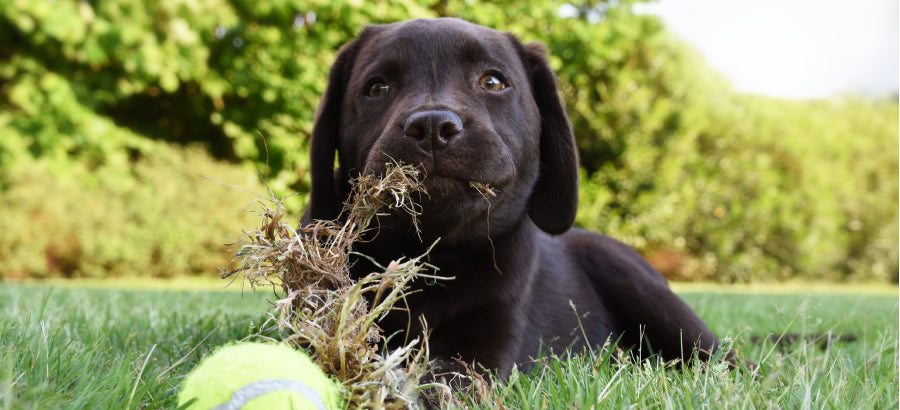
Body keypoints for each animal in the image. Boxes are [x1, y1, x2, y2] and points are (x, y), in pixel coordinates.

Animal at [302, 18, 740, 378]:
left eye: (493, 82)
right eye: (377, 88)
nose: (432, 126)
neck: (432, 254)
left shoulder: (482, 351)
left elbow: (437, 380)